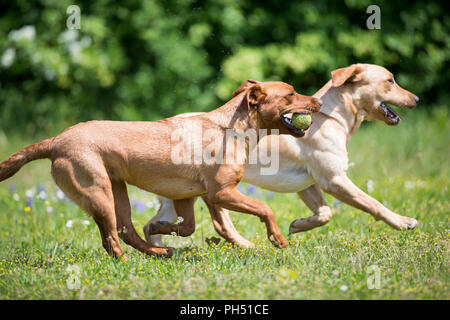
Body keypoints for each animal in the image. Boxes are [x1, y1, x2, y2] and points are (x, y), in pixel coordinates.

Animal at [0, 80, 324, 260]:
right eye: (291, 94)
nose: (318, 101)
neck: (233, 127)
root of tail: (55, 141)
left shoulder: (192, 196)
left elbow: (189, 226)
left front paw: (161, 228)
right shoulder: (221, 192)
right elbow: (264, 209)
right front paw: (277, 239)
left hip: (117, 191)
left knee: (126, 231)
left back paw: (158, 252)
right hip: (98, 191)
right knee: (112, 239)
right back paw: (126, 264)